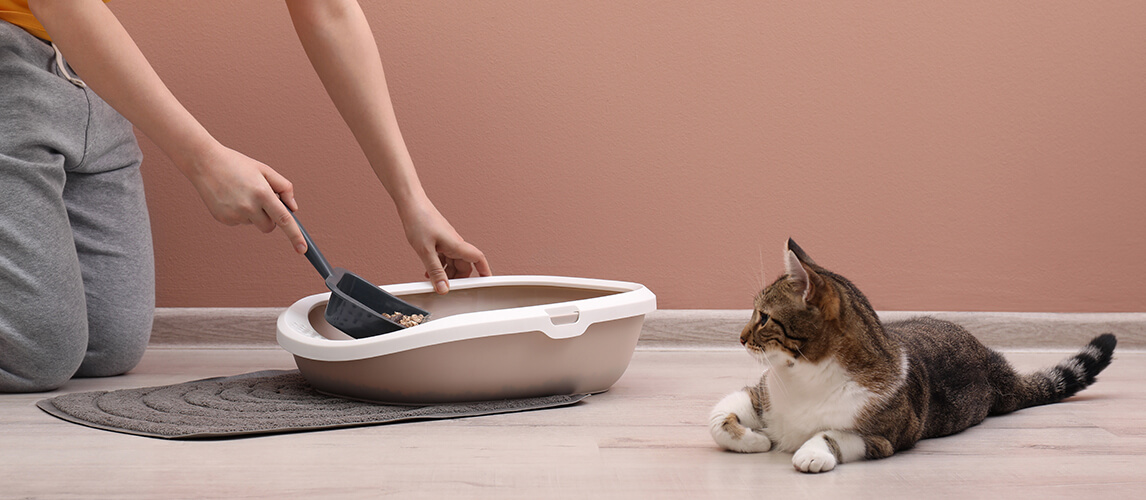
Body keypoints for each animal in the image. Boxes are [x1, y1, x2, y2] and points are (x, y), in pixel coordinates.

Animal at [710, 238, 1113, 472]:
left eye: (763, 317)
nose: (740, 338)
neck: (805, 377)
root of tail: (993, 362)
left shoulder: (887, 436)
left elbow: (833, 434)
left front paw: (811, 452)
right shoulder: (760, 392)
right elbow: (716, 419)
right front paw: (757, 439)